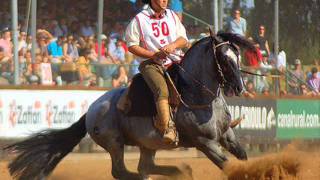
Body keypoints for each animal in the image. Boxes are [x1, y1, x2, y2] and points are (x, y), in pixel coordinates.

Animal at [5, 32, 255, 180]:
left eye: (237, 55)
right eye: (224, 58)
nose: (239, 87)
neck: (197, 95)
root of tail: (92, 108)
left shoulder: (227, 135)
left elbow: (243, 158)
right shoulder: (205, 143)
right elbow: (230, 166)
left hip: (148, 144)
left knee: (145, 167)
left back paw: (180, 171)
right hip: (114, 142)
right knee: (121, 171)